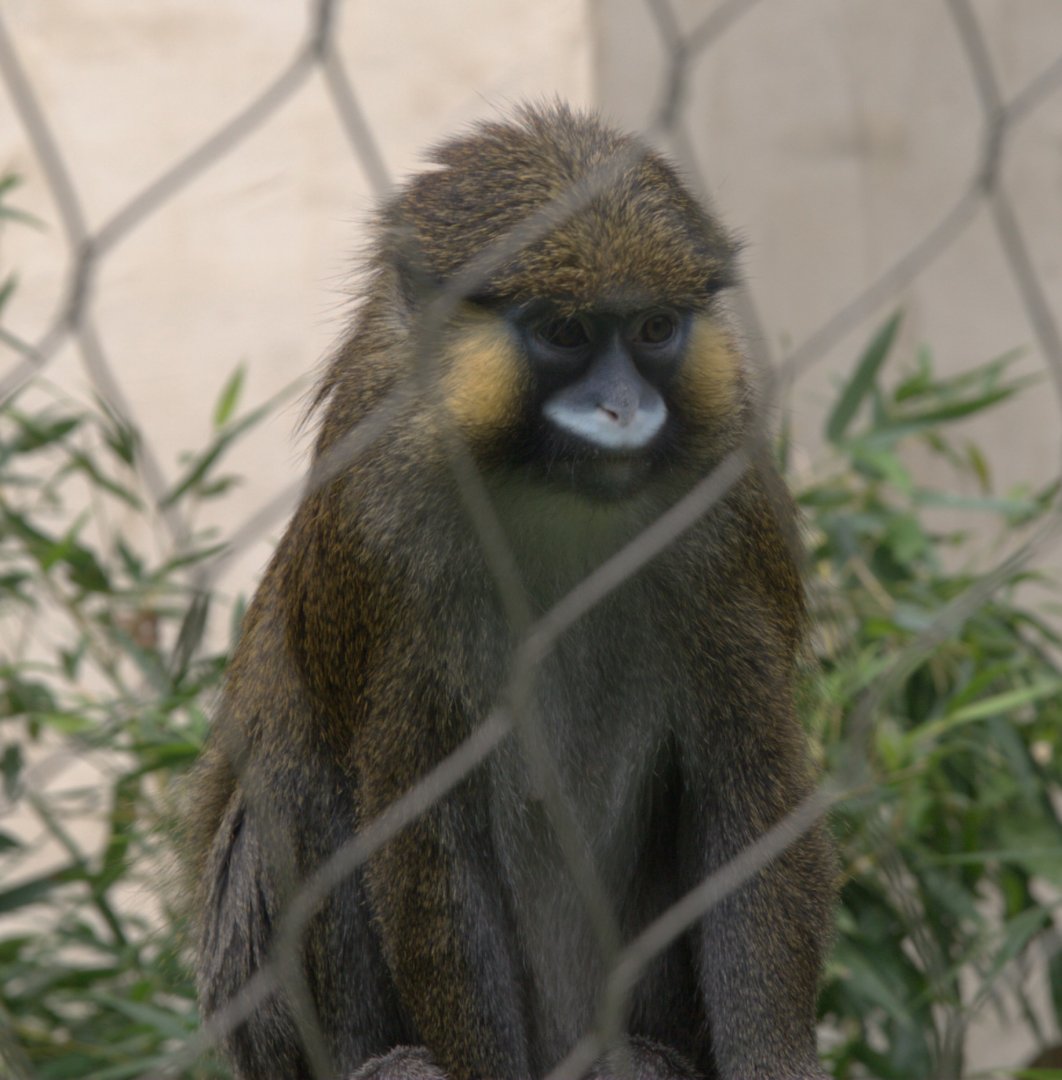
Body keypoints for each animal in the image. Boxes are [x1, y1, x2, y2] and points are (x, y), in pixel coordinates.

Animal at [184, 102, 837, 1080]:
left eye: (654, 329)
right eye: (565, 333)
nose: (624, 410)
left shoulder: (729, 518)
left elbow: (745, 790)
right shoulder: (380, 535)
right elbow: (422, 831)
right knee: (300, 784)